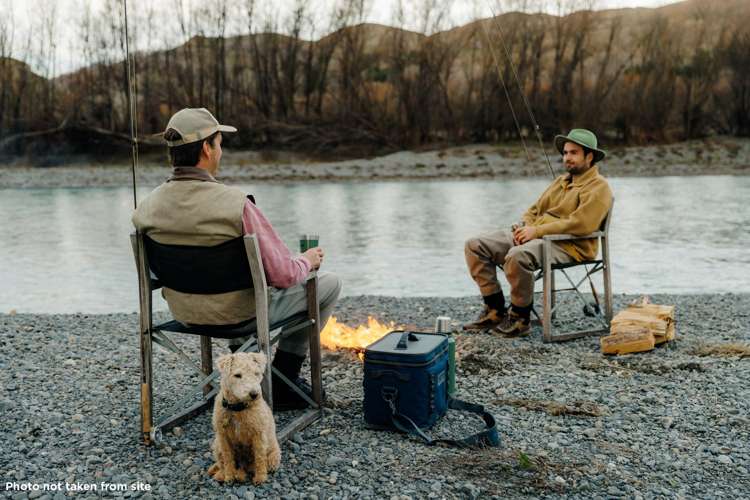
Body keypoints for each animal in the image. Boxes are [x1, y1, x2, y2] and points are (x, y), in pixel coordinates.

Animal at [209, 352, 282, 484]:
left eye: (256, 373)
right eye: (237, 375)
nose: (254, 394)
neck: (237, 408)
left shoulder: (258, 435)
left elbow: (259, 457)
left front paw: (260, 478)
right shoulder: (223, 436)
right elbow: (227, 457)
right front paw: (229, 476)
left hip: (273, 453)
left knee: (259, 464)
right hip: (216, 444)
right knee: (221, 463)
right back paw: (222, 475)